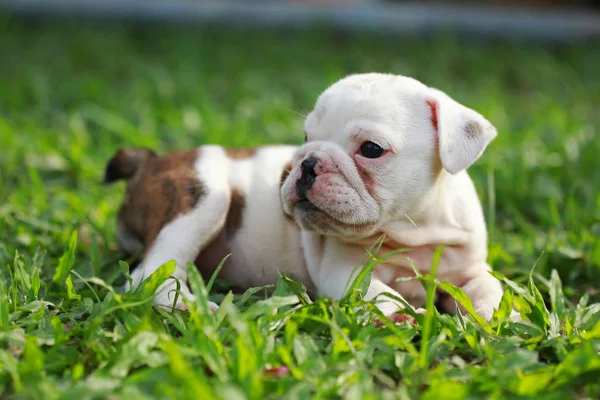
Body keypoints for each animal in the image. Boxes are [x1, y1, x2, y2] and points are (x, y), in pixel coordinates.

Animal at [105, 73, 504, 320]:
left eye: (371, 149)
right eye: (306, 136)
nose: (308, 162)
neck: (413, 230)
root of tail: (151, 161)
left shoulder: (470, 267)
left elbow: (489, 287)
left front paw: (494, 316)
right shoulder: (345, 271)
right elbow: (379, 293)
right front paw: (401, 316)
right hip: (204, 196)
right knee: (151, 272)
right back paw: (192, 308)